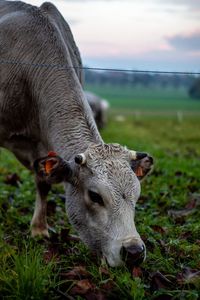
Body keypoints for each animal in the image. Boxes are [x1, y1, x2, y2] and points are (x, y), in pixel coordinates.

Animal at [0, 0, 154, 268]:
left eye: (137, 195)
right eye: (95, 196)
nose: (134, 252)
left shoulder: (43, 149)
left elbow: (43, 183)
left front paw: (39, 229)